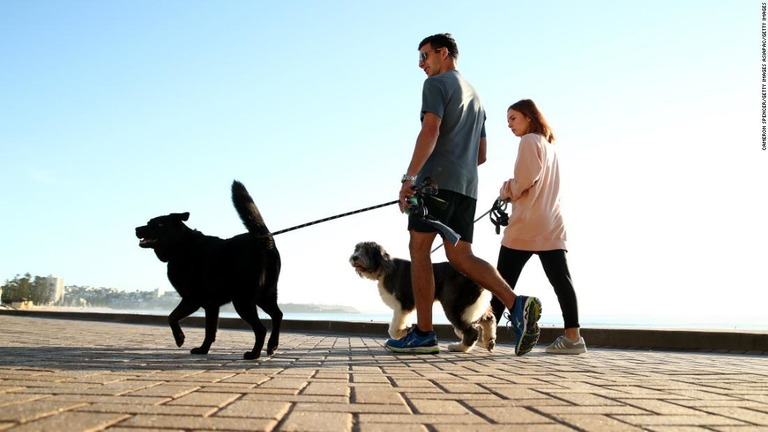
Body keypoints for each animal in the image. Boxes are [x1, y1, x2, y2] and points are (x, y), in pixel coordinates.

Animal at [134, 181, 282, 360]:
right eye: (148, 222)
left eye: (159, 225)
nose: (136, 229)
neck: (182, 246)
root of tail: (264, 239)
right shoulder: (211, 306)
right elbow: (210, 331)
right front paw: (203, 350)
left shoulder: (192, 299)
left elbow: (171, 317)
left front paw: (180, 339)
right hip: (265, 295)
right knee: (278, 315)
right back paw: (272, 345)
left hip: (243, 300)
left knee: (261, 328)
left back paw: (254, 354)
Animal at [350, 241, 498, 352]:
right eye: (357, 249)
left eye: (367, 251)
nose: (354, 257)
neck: (385, 268)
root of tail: (475, 279)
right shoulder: (405, 307)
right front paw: (406, 329)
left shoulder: (403, 303)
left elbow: (393, 328)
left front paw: (402, 332)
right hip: (469, 304)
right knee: (489, 319)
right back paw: (488, 341)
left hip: (454, 304)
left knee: (471, 331)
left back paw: (459, 347)